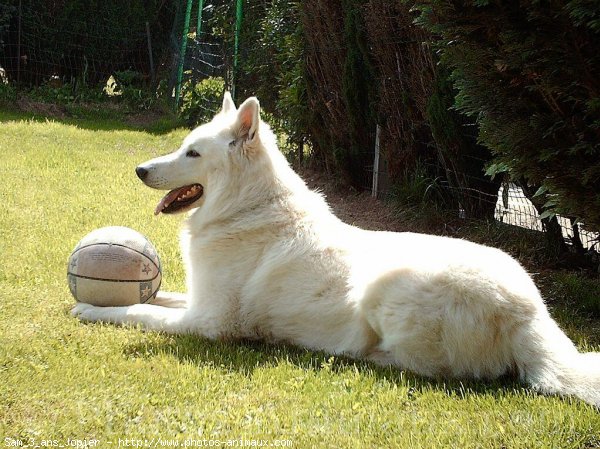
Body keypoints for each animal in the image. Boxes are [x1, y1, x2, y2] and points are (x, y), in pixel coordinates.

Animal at [74, 92, 600, 406]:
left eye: (193, 153)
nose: (140, 170)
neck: (248, 207)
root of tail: (530, 315)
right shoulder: (197, 300)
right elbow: (158, 297)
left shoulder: (207, 323)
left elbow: (137, 312)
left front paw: (90, 309)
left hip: (386, 284)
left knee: (427, 369)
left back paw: (354, 353)